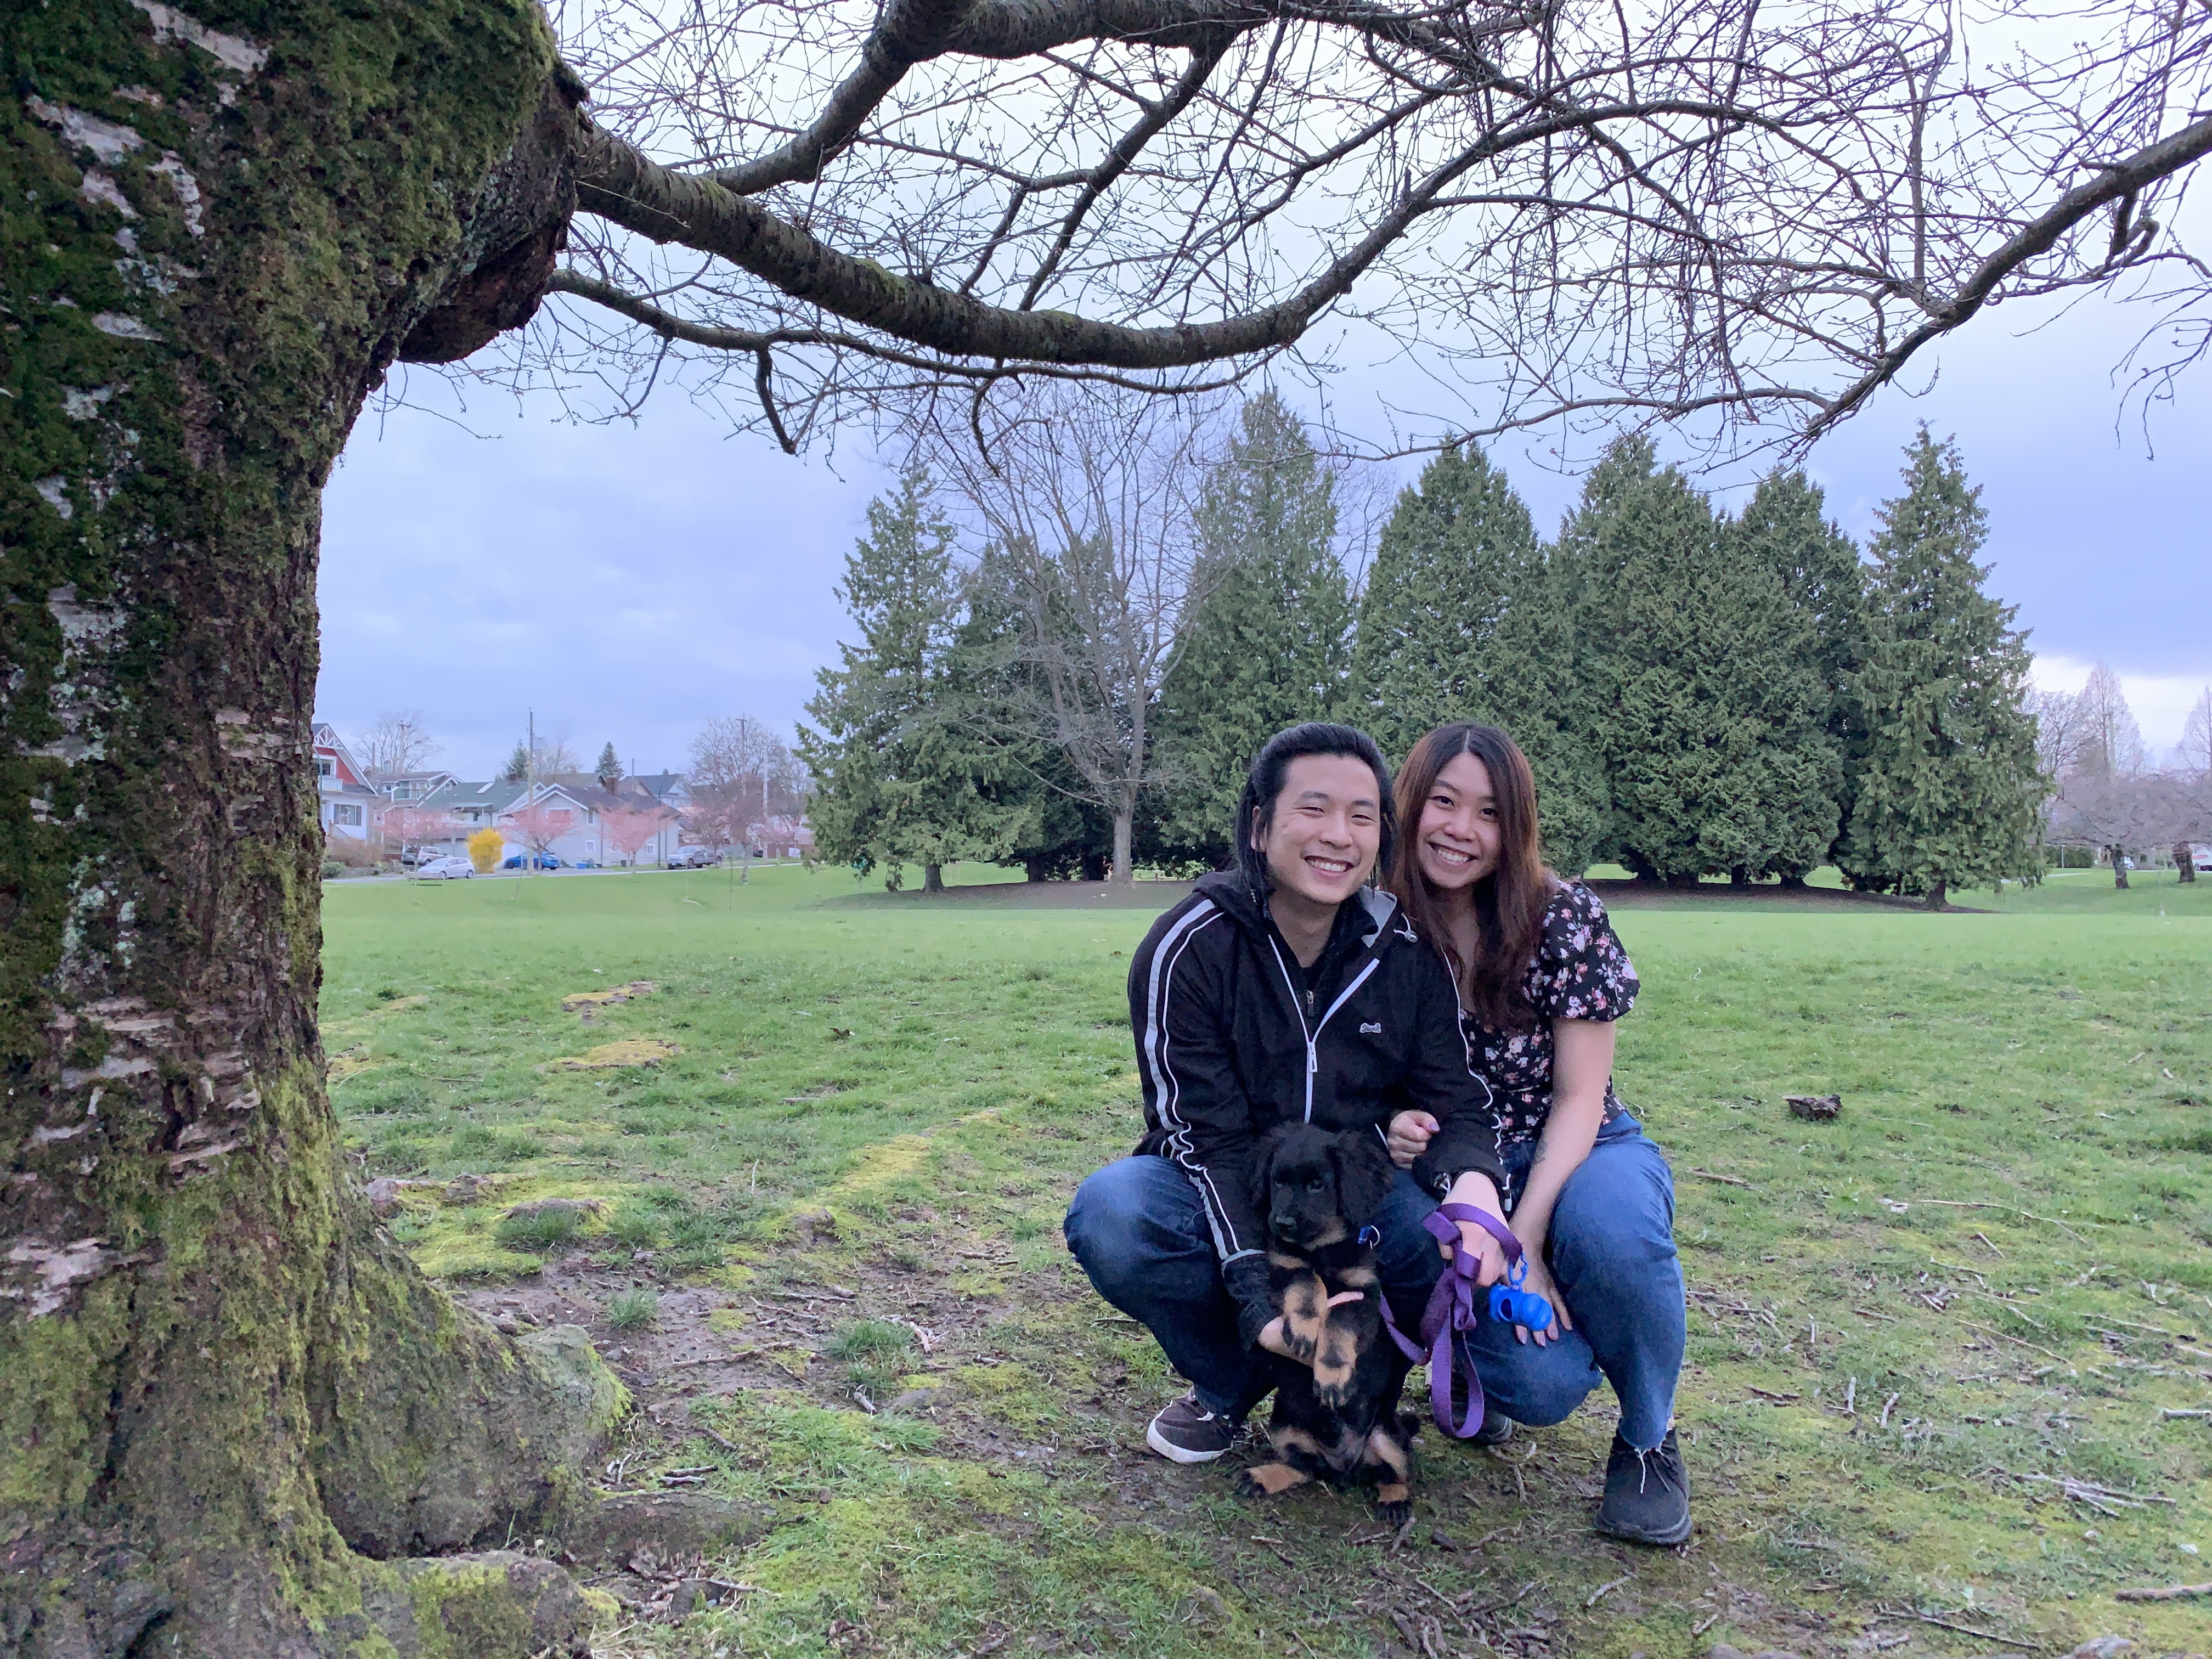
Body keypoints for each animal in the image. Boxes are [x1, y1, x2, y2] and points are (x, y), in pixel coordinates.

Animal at [1237, 1122, 1420, 1523]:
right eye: (1277, 1181)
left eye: (1317, 1185)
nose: (1283, 1222)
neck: (1321, 1249)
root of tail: (1343, 1469)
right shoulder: (1284, 1270)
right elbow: (1308, 1282)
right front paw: (1305, 1327)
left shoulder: (1362, 1298)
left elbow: (1337, 1323)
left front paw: (1332, 1377)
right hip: (1285, 1424)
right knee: (1303, 1468)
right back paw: (1261, 1477)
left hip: (1386, 1433)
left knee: (1395, 1473)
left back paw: (1396, 1501)